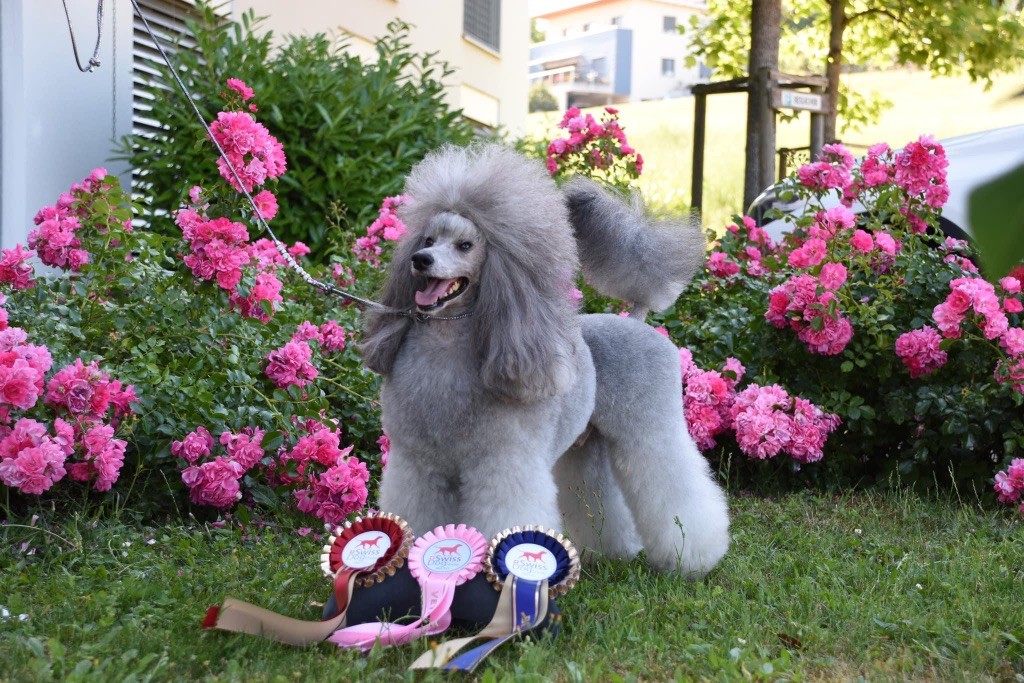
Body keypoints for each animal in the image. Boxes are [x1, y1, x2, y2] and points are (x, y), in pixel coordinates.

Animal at [360, 143, 730, 576]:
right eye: (429, 238)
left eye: (465, 245)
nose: (421, 259)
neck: (445, 348)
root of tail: (634, 319)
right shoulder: (418, 464)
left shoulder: (503, 464)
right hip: (587, 444)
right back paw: (610, 550)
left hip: (651, 430)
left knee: (674, 481)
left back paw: (694, 558)